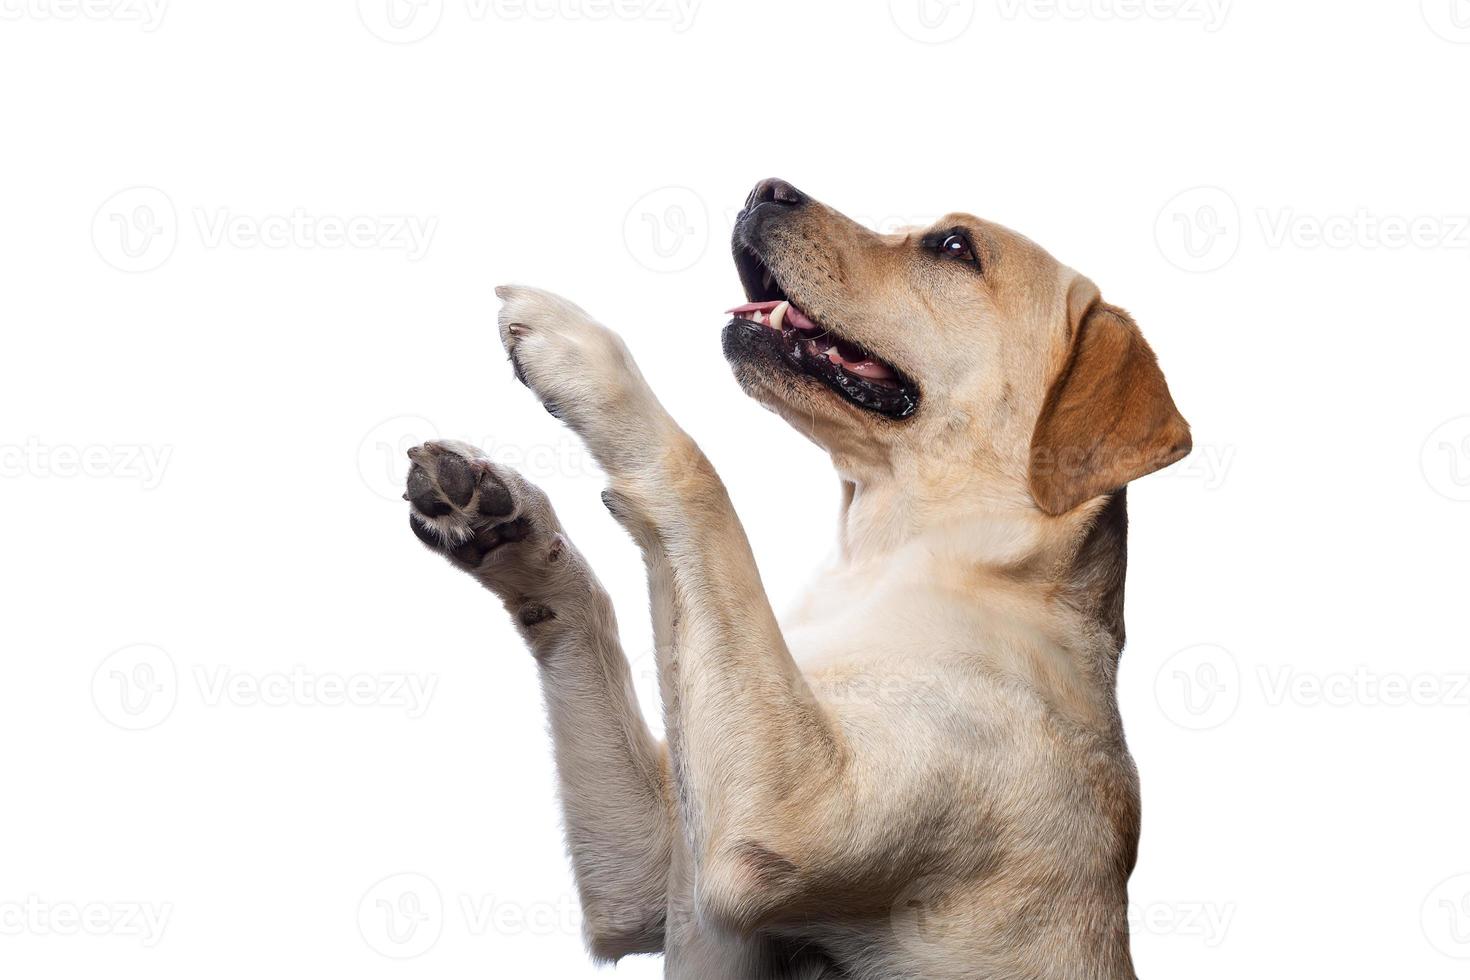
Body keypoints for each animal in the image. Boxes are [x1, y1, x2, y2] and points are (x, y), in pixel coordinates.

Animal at [405, 179, 1193, 975]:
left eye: (954, 246)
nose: (765, 189)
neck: (896, 557)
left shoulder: (792, 814)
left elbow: (701, 485)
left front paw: (582, 349)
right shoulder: (650, 871)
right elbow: (610, 609)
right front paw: (504, 524)